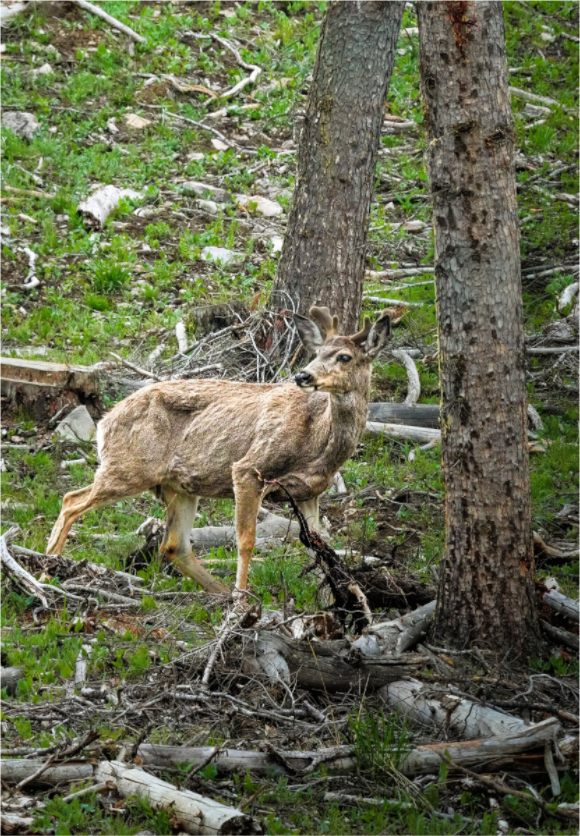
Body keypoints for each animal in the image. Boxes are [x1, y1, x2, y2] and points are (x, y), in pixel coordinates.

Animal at [46, 306, 391, 595]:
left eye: (345, 357)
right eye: (317, 353)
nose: (303, 375)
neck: (318, 444)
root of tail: (105, 421)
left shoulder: (310, 492)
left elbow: (320, 548)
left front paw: (338, 599)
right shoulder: (250, 469)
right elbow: (246, 540)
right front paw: (242, 597)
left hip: (177, 487)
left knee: (173, 545)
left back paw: (219, 594)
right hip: (130, 467)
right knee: (71, 501)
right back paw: (48, 568)